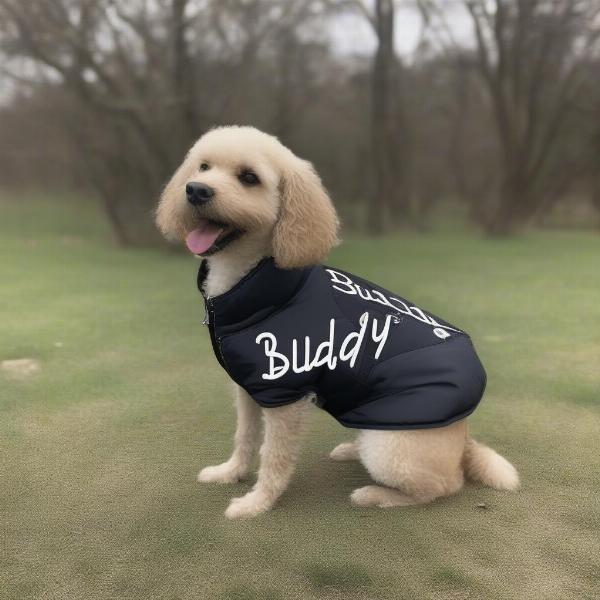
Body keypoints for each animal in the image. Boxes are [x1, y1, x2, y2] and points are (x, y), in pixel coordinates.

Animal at [156, 125, 520, 520]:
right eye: (203, 167)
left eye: (249, 177)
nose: (196, 190)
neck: (259, 281)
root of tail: (463, 443)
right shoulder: (249, 389)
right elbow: (245, 438)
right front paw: (231, 473)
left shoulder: (283, 397)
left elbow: (274, 457)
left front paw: (258, 503)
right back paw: (351, 450)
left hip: (390, 447)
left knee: (441, 487)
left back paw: (376, 495)